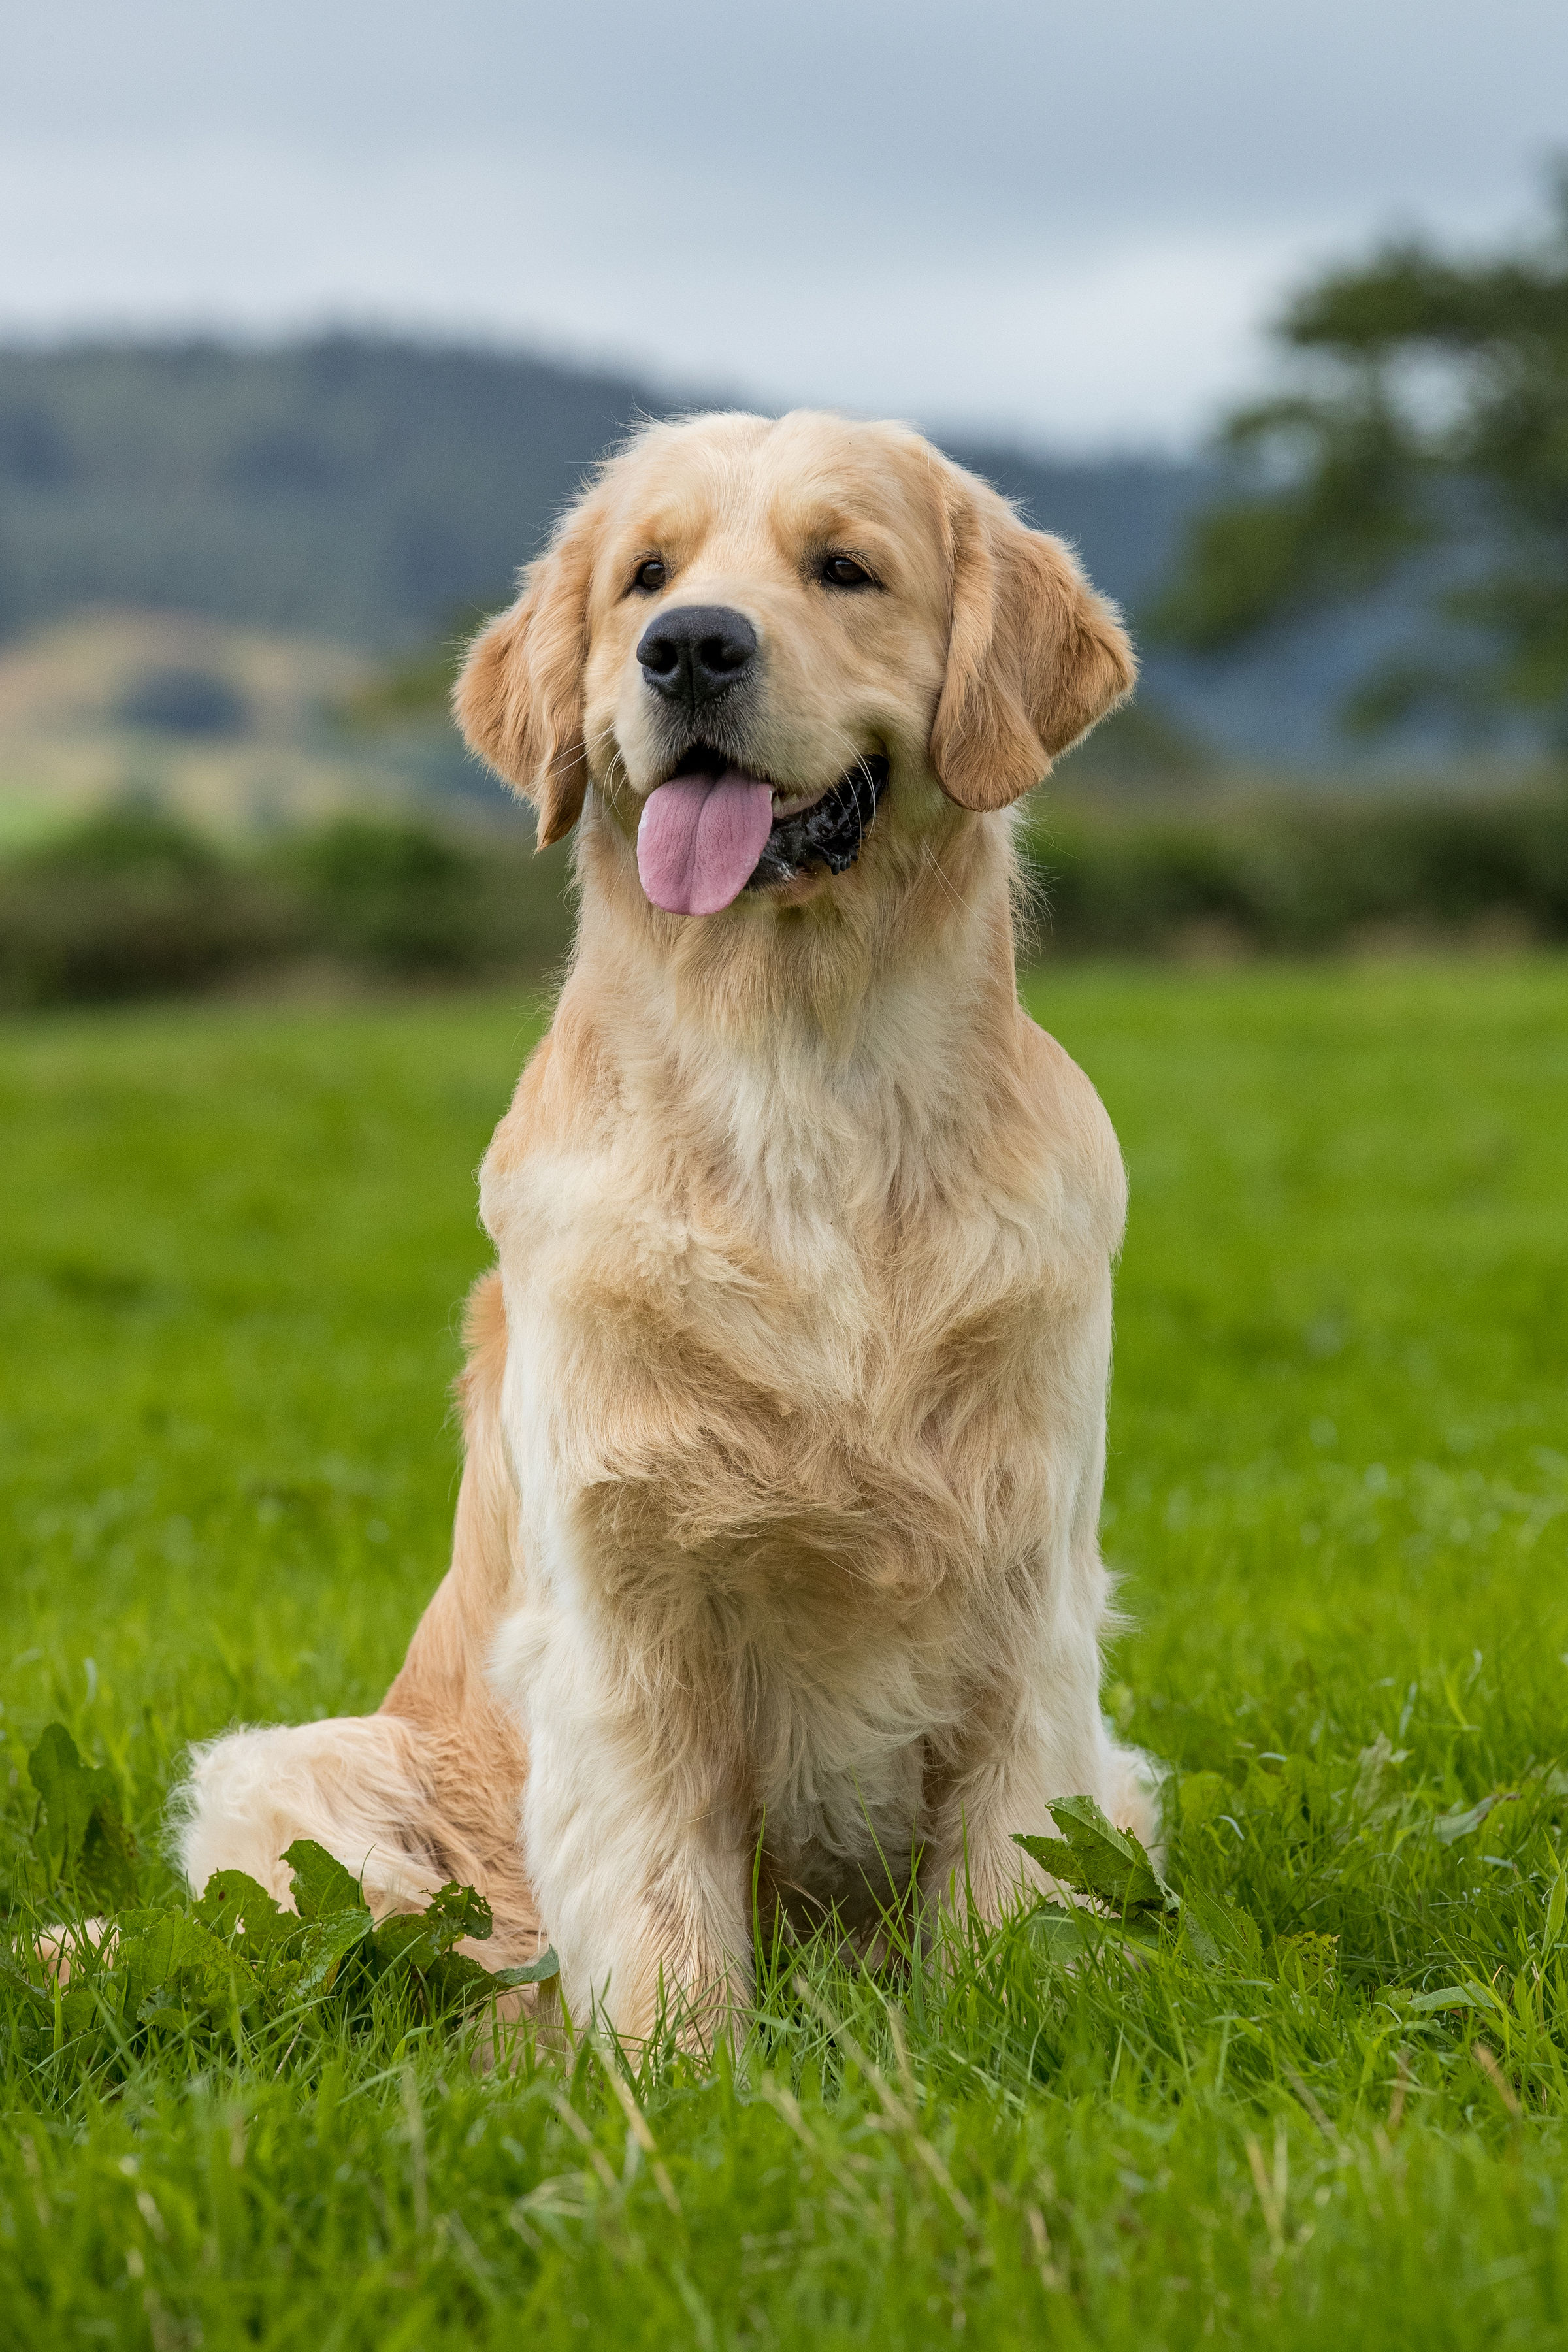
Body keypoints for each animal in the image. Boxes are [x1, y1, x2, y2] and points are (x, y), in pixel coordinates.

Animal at [175, 404, 1152, 2041]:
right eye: (646, 576)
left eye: (845, 569)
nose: (691, 647)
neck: (800, 1083)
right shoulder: (622, 1605)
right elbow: (652, 1903)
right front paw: (675, 2075)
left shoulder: (1030, 1581)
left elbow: (1012, 1878)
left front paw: (1006, 2036)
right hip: (307, 1782)